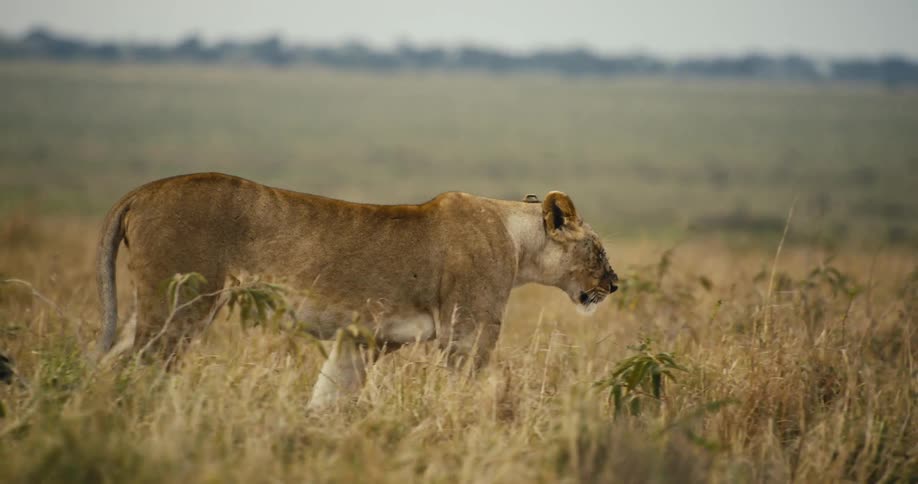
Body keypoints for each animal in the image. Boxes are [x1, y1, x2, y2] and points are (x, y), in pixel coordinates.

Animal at [96, 173, 618, 408]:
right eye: (598, 249)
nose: (615, 284)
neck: (517, 237)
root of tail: (142, 190)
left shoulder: (365, 338)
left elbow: (330, 392)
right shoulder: (468, 334)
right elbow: (463, 390)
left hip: (153, 302)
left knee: (112, 357)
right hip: (184, 301)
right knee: (136, 364)